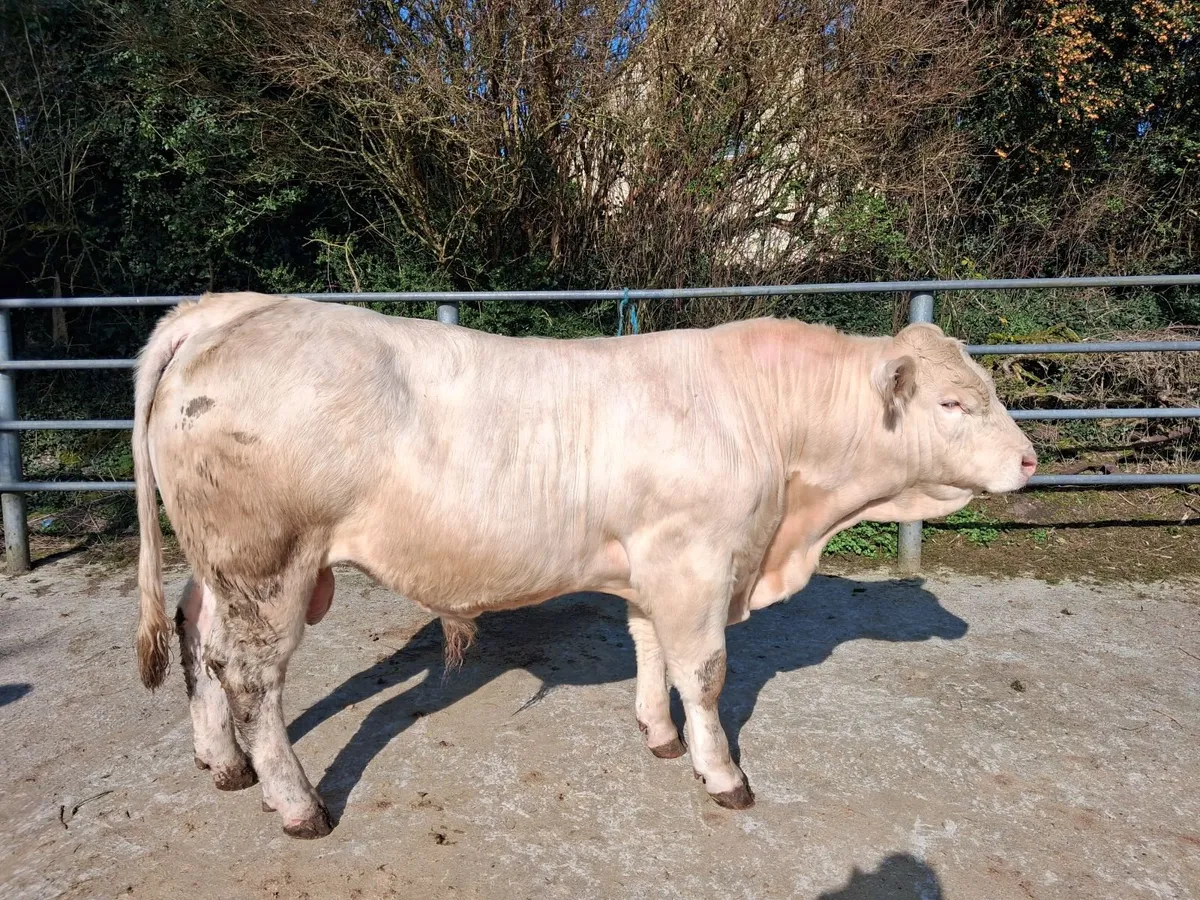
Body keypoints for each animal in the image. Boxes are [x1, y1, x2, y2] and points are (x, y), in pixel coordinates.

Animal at [132, 291, 1037, 839]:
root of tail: (232, 309)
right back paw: (297, 804)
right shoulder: (695, 559)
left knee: (200, 637)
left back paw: (224, 765)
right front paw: (721, 772)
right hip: (268, 564)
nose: (1030, 460)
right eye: (955, 403)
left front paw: (659, 736)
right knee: (252, 678)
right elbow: (703, 671)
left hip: (222, 566)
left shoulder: (653, 563)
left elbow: (650, 650)